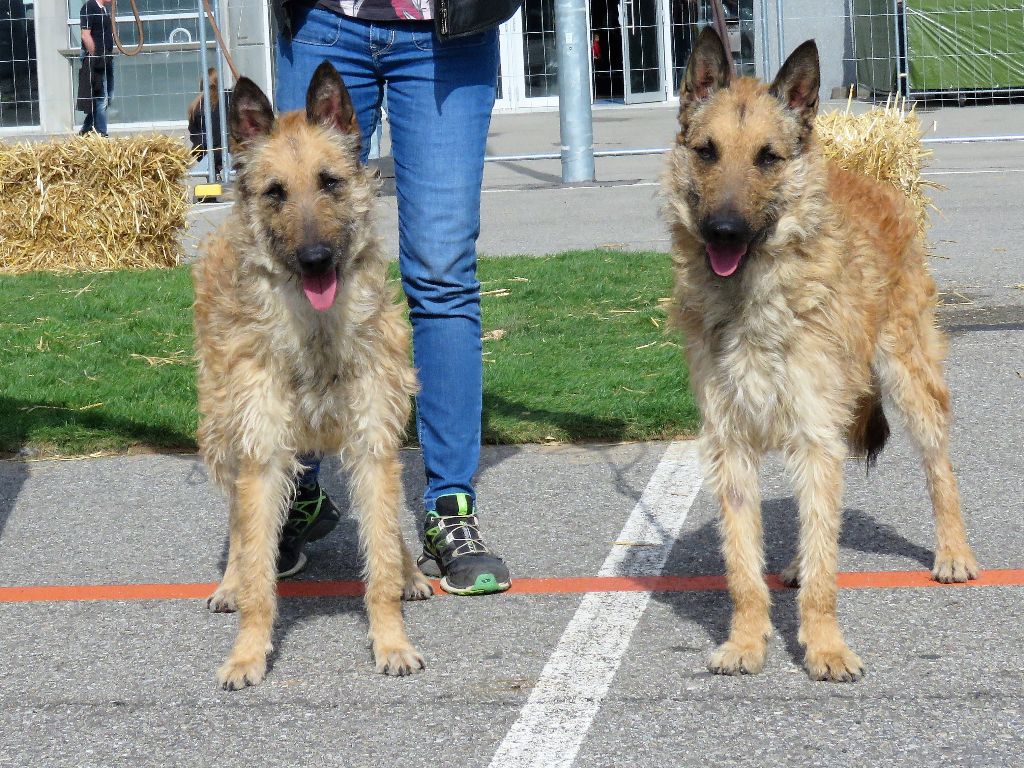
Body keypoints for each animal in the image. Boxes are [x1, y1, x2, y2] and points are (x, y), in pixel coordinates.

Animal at [193, 61, 430, 692]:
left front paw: (392, 640)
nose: (316, 259)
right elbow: (257, 566)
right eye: (276, 192)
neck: (318, 332)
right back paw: (228, 583)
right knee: (238, 523)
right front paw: (247, 653)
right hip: (224, 430)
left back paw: (413, 571)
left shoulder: (374, 442)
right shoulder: (262, 449)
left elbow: (381, 557)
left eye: (330, 182)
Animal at [659, 28, 978, 684]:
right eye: (706, 151)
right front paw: (747, 641)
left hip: (908, 379)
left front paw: (826, 647)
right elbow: (742, 563)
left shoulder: (814, 432)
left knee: (939, 469)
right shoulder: (731, 444)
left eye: (767, 158)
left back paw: (953, 551)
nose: (723, 231)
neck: (754, 296)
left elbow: (826, 566)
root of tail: (869, 178)